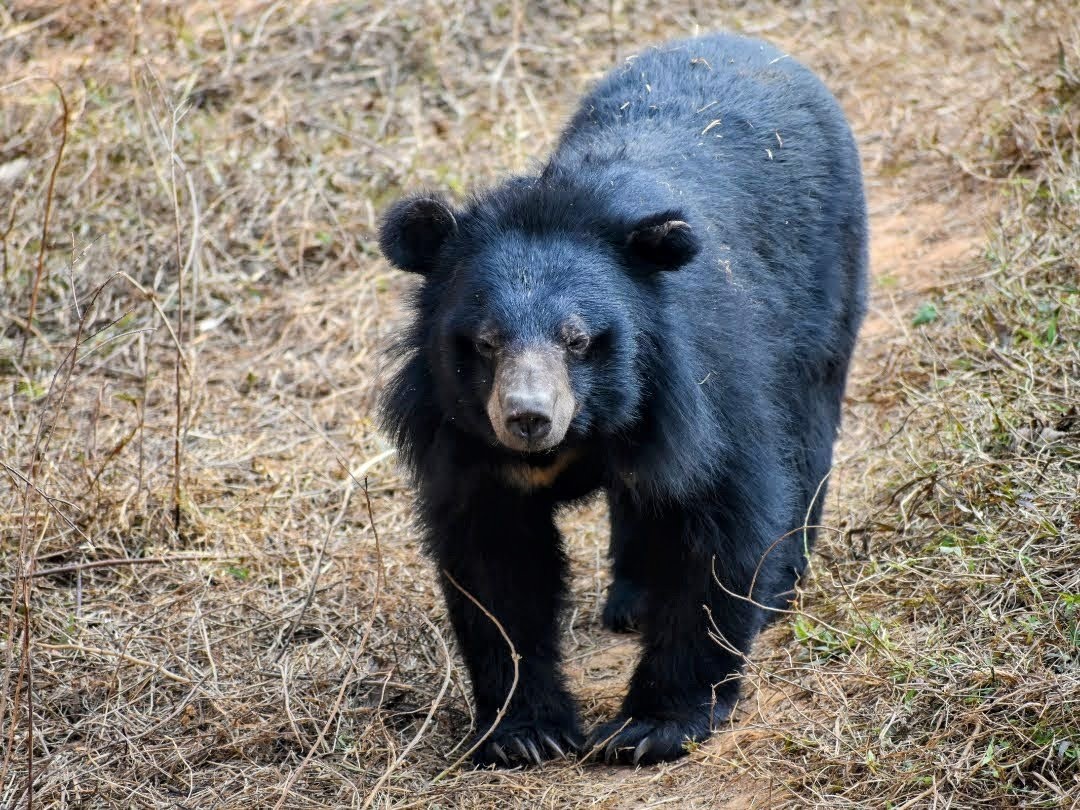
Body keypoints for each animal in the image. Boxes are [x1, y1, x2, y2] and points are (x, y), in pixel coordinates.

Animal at [380, 31, 868, 768]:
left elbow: (718, 522)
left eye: (577, 339)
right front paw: (526, 732)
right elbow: (495, 564)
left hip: (827, 284)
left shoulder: (701, 386)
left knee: (805, 430)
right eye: (486, 343)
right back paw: (631, 600)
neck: (595, 420)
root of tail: (749, 43)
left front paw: (651, 727)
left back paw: (781, 581)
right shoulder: (464, 440)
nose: (527, 417)